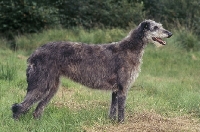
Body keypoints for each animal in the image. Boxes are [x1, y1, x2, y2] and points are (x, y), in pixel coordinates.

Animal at [11, 19, 173, 121]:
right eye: (155, 28)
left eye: (160, 25)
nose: (170, 33)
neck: (130, 47)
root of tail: (33, 54)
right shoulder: (123, 87)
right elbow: (121, 109)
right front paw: (122, 123)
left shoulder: (115, 89)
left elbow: (113, 108)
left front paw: (111, 122)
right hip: (41, 84)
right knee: (19, 107)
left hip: (52, 87)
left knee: (37, 109)